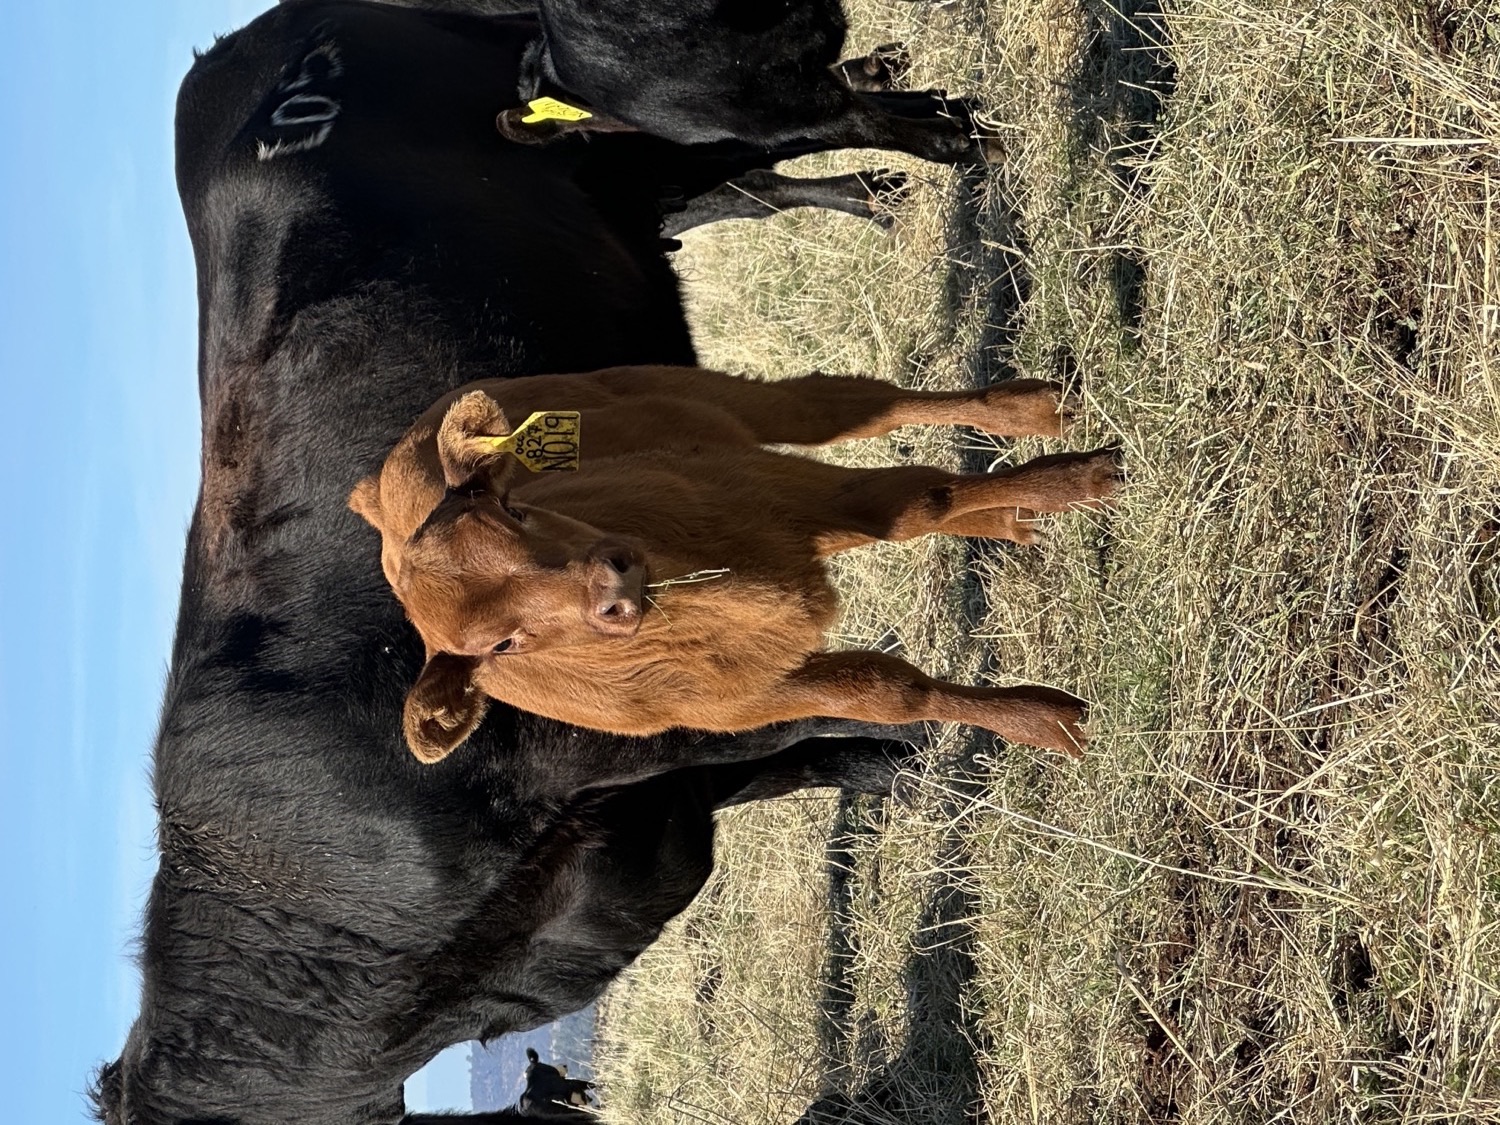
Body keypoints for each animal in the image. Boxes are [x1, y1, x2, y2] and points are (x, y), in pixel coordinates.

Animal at [89, 2, 1005, 1123]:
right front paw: (903, 764)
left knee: (764, 140)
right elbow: (798, 748)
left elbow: (802, 714)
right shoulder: (646, 797)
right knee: (751, 159)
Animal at [350, 367, 1111, 761]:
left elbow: (918, 503)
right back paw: (1009, 519)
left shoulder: (785, 491)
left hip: (719, 397)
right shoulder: (757, 693)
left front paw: (1077, 480)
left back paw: (1036, 412)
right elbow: (888, 693)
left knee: (858, 406)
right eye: (502, 644)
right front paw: (1048, 723)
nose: (612, 580)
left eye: (514, 508)